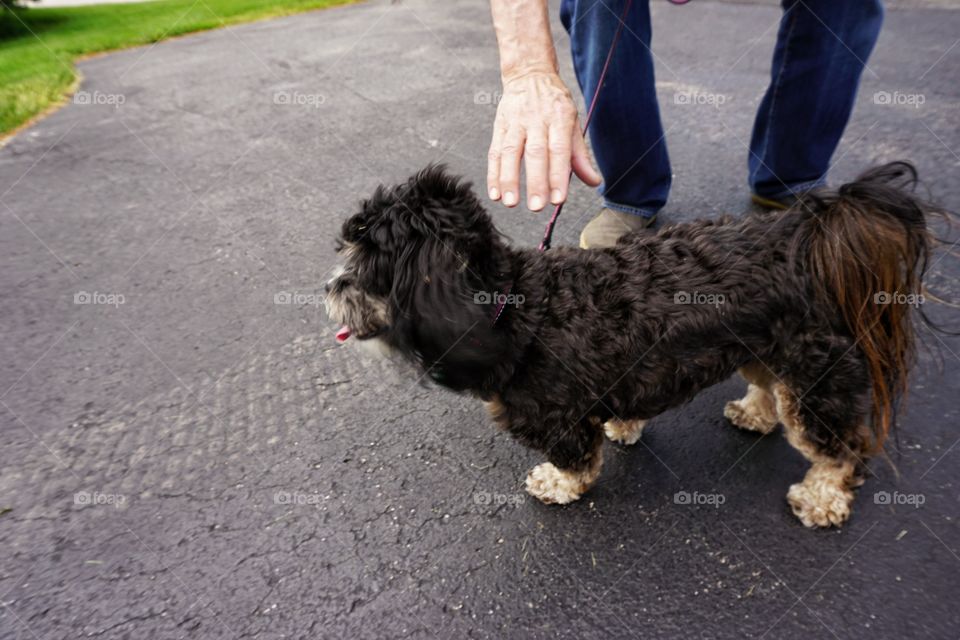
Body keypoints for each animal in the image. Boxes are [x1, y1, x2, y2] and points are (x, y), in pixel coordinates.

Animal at [326, 162, 932, 528]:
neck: (513, 310)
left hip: (816, 375)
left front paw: (557, 483)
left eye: (361, 266)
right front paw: (624, 427)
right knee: (769, 388)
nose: (328, 291)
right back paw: (755, 414)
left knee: (841, 450)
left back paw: (822, 497)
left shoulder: (558, 418)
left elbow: (575, 462)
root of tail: (799, 239)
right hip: (767, 346)